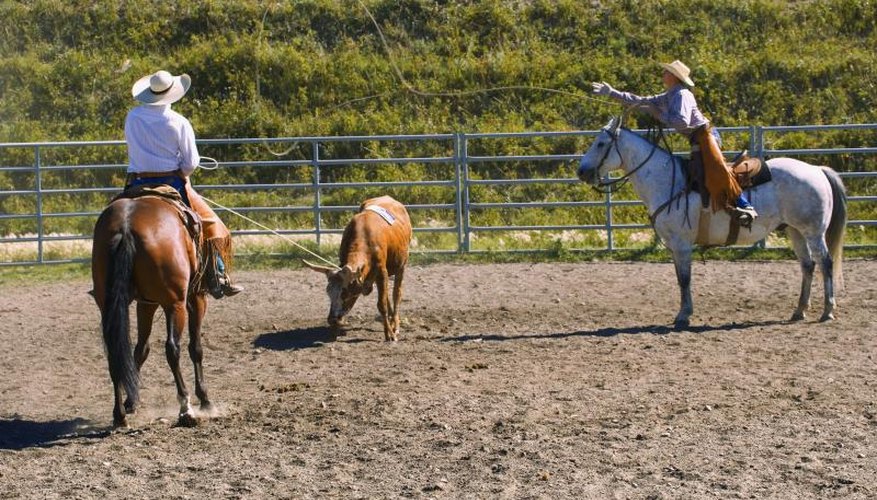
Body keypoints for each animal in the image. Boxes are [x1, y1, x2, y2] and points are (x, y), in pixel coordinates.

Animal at [91, 193, 210, 428]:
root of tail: (125, 227)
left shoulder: (146, 304)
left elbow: (141, 349)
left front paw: (131, 400)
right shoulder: (196, 297)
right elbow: (196, 348)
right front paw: (204, 398)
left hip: (109, 304)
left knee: (115, 353)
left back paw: (119, 415)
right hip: (175, 304)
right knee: (173, 349)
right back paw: (186, 408)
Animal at [304, 195, 414, 340]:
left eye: (345, 292)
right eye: (328, 292)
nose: (332, 320)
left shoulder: (382, 272)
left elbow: (382, 304)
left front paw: (389, 334)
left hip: (401, 265)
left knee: (396, 294)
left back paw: (395, 325)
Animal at [580, 116, 844, 328]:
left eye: (601, 143)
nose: (581, 171)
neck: (667, 181)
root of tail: (817, 169)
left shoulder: (682, 243)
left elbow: (685, 278)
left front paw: (683, 316)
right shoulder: (674, 246)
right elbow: (679, 278)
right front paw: (683, 313)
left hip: (813, 231)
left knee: (825, 262)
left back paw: (827, 311)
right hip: (795, 231)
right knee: (807, 265)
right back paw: (799, 311)